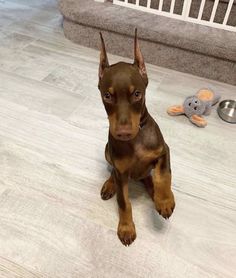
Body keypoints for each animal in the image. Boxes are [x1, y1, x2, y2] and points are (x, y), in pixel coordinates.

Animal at [97, 28, 175, 245]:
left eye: (137, 94)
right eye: (107, 96)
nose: (123, 133)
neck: (135, 141)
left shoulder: (163, 150)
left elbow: (163, 174)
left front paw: (165, 200)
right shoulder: (121, 171)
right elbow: (124, 202)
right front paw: (126, 228)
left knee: (150, 177)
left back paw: (155, 193)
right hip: (107, 151)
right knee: (112, 171)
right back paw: (110, 184)